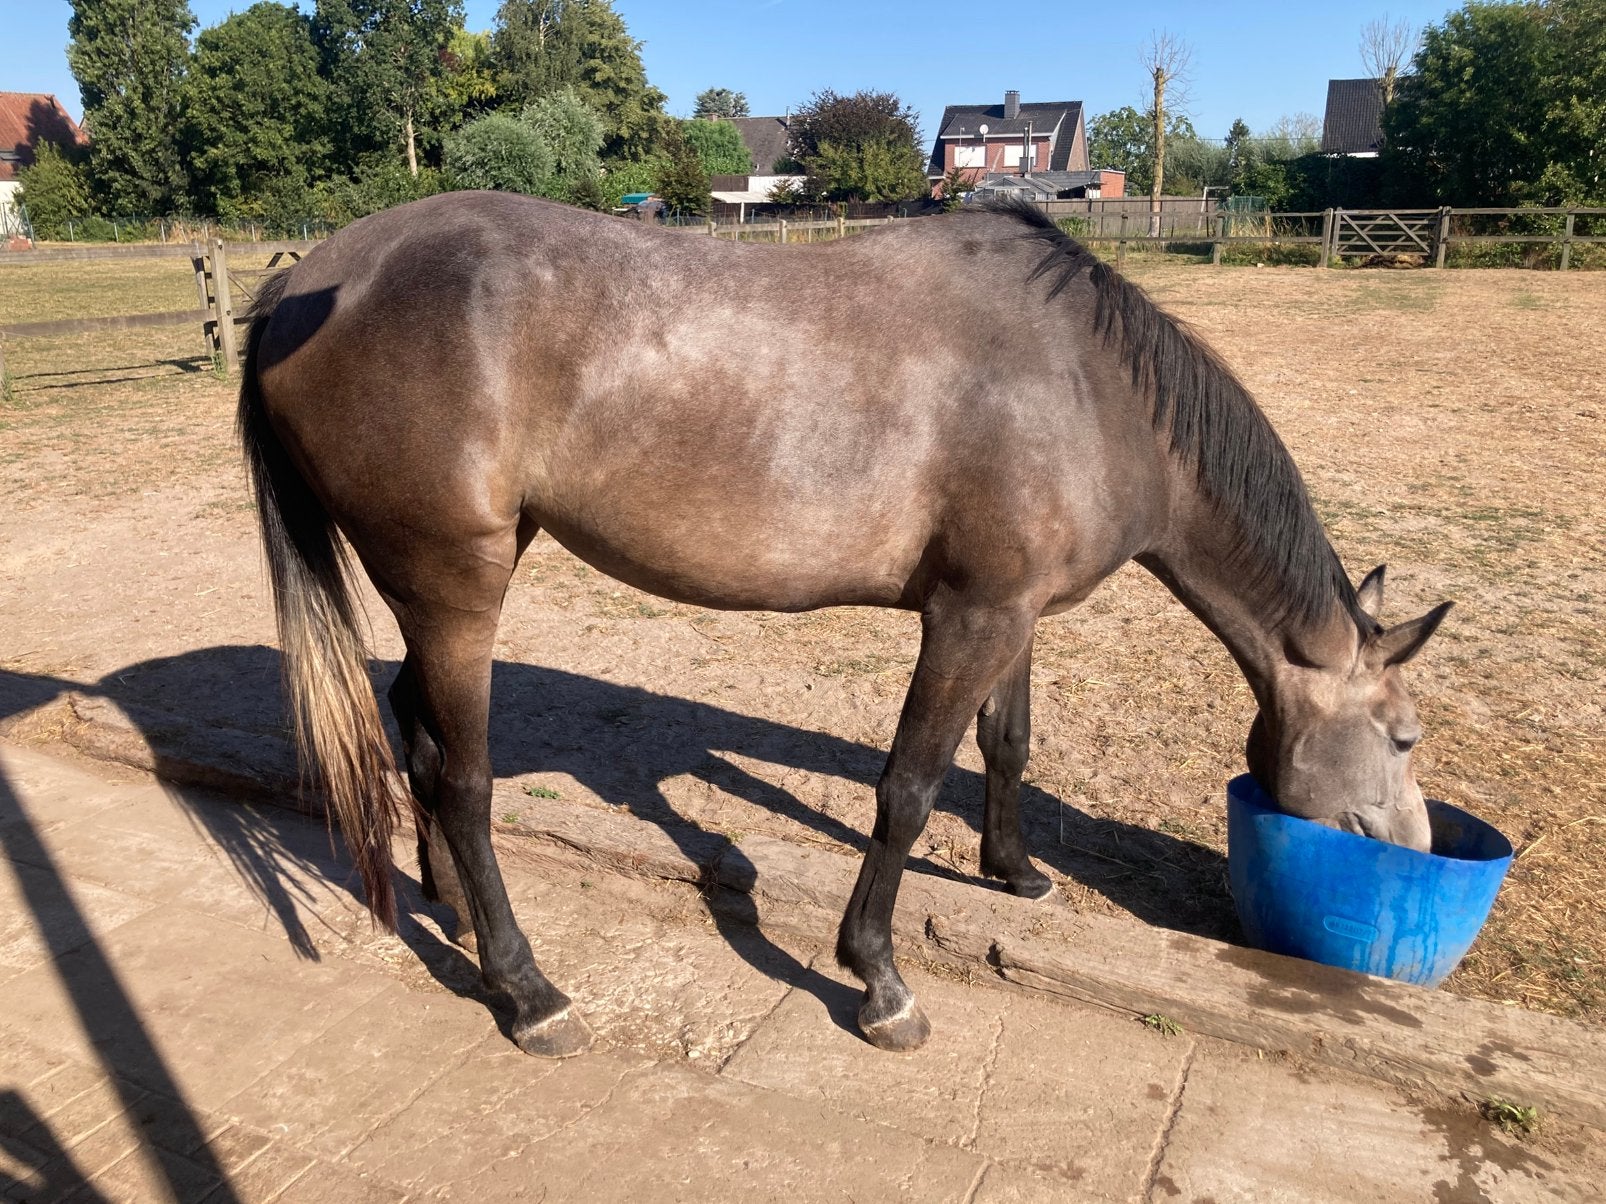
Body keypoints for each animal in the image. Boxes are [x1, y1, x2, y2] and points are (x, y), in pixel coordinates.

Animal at [238, 193, 1451, 1058]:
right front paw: (878, 980)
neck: (1089, 389)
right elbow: (906, 789)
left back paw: (450, 908)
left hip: (448, 585)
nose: (1414, 854)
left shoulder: (1013, 614)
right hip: (456, 588)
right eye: (1402, 739)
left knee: (416, 733)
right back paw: (526, 988)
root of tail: (307, 278)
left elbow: (1006, 744)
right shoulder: (969, 619)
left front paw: (1014, 871)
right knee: (464, 778)